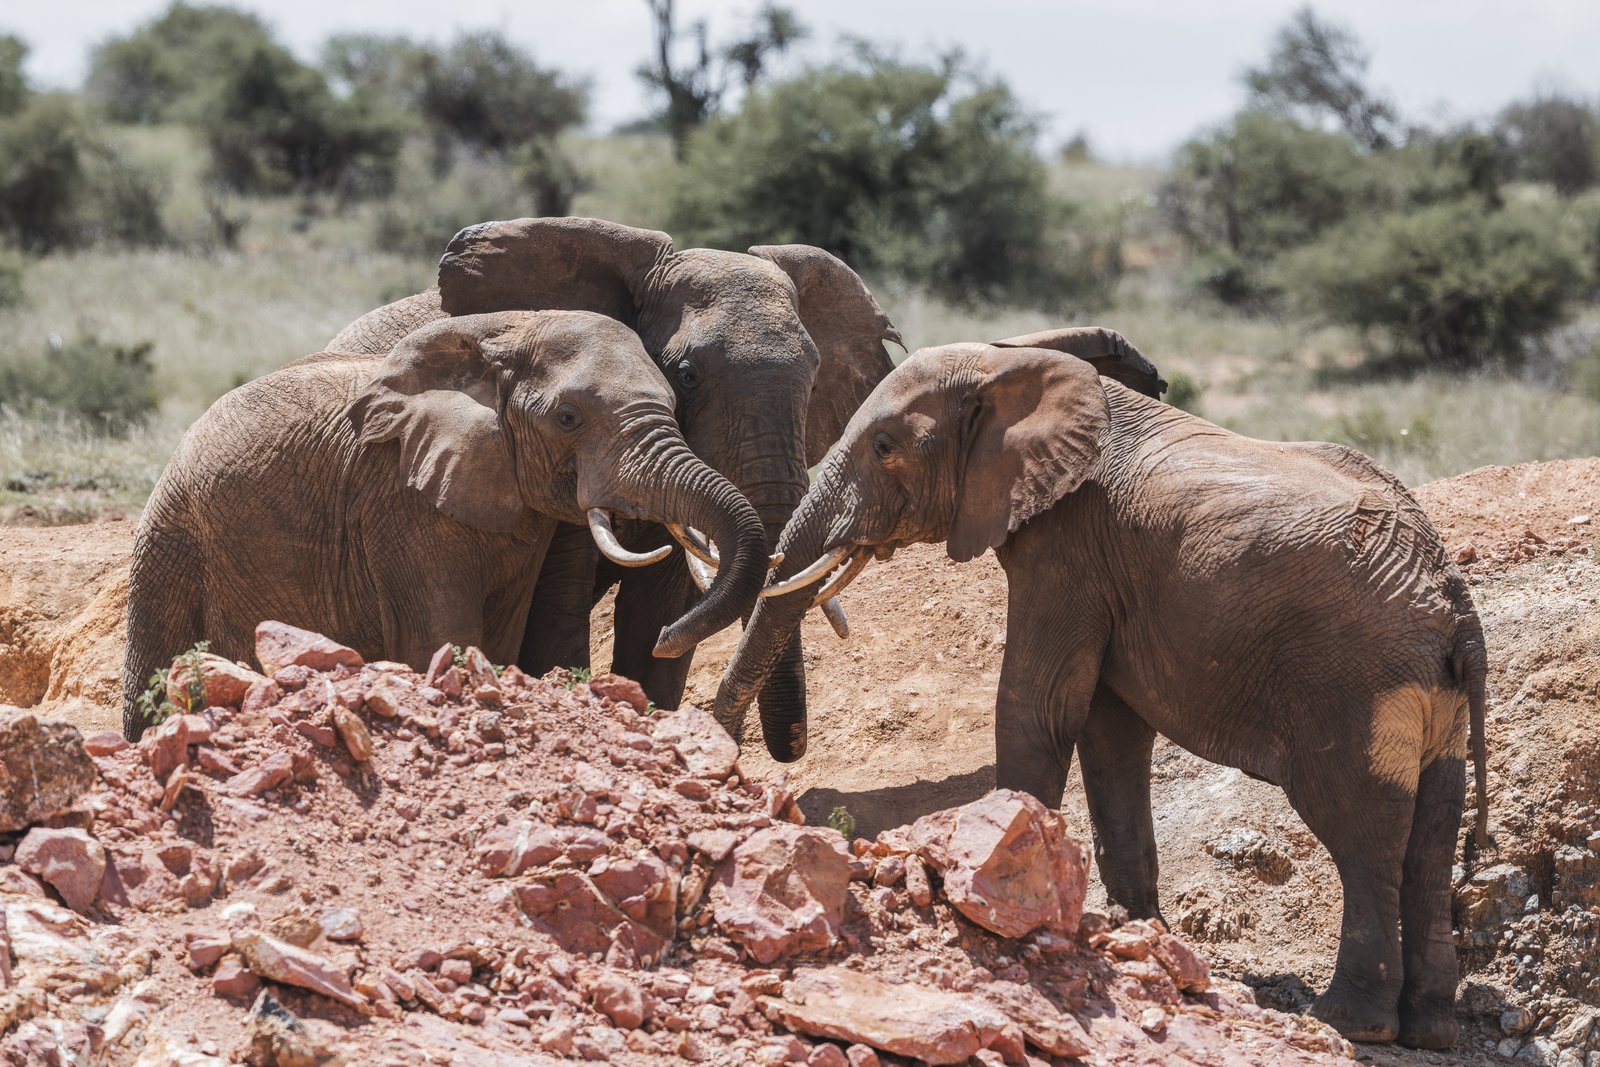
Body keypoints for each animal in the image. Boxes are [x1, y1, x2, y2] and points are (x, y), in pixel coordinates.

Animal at [122, 310, 769, 740]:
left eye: (675, 400)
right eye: (568, 417)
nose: (664, 639)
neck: (506, 336)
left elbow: (498, 639)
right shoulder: (398, 500)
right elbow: (443, 636)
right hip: (171, 544)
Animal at [714, 333, 1490, 1050]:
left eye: (883, 447)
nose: (731, 740)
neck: (1008, 364)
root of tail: (1456, 607)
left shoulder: (1068, 546)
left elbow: (1037, 706)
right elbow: (1111, 730)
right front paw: (1137, 930)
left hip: (1354, 684)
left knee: (1361, 832)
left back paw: (1351, 1022)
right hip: (1431, 702)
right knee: (1429, 836)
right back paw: (1431, 1031)